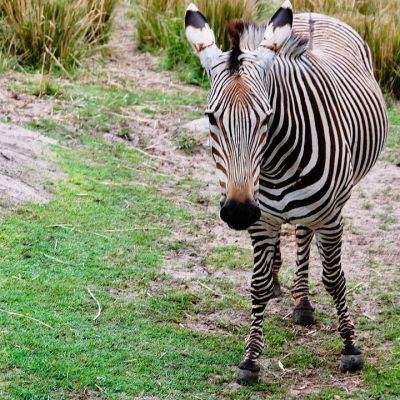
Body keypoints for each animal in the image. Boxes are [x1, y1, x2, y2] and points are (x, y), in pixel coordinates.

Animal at [184, 0, 388, 384]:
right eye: (211, 117)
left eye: (266, 117)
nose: (237, 212)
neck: (274, 164)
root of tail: (314, 14)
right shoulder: (261, 217)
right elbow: (258, 283)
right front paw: (250, 359)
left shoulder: (331, 216)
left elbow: (334, 278)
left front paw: (350, 348)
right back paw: (287, 287)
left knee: (305, 235)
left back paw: (303, 303)